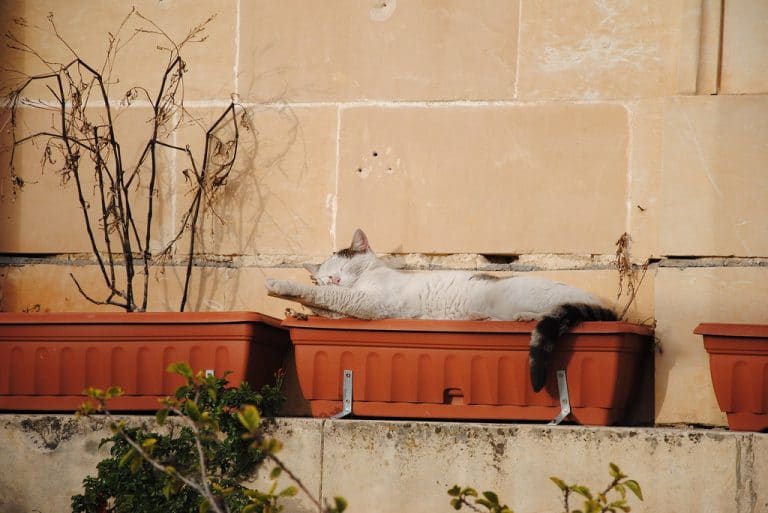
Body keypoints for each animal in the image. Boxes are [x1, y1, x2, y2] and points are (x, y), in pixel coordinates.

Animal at [268, 226, 616, 390]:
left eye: (345, 266)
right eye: (327, 275)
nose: (336, 279)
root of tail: (603, 305)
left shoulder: (370, 303)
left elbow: (329, 298)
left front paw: (283, 288)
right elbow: (327, 305)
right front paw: (299, 310)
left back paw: (521, 317)